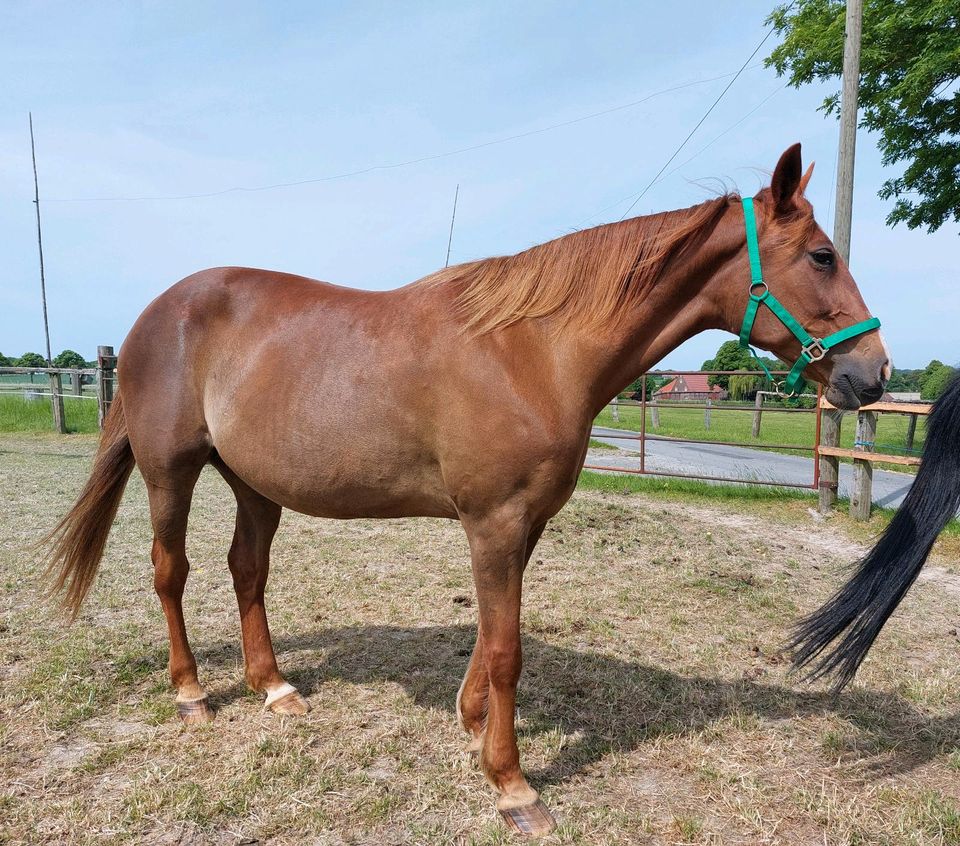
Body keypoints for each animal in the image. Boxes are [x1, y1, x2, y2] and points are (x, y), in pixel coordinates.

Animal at [45, 144, 884, 836]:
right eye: (821, 254)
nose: (871, 372)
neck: (535, 350)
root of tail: (154, 315)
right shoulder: (494, 520)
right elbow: (509, 647)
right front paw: (511, 784)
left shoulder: (524, 521)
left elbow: (490, 632)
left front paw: (472, 720)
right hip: (170, 473)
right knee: (170, 574)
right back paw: (192, 694)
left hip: (255, 485)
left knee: (246, 572)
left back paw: (274, 687)